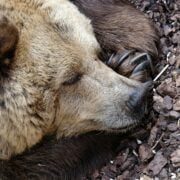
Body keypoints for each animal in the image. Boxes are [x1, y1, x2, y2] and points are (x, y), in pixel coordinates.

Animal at [0, 0, 158, 179]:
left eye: (96, 52)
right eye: (70, 78)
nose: (137, 97)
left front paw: (132, 54)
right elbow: (38, 165)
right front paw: (131, 68)